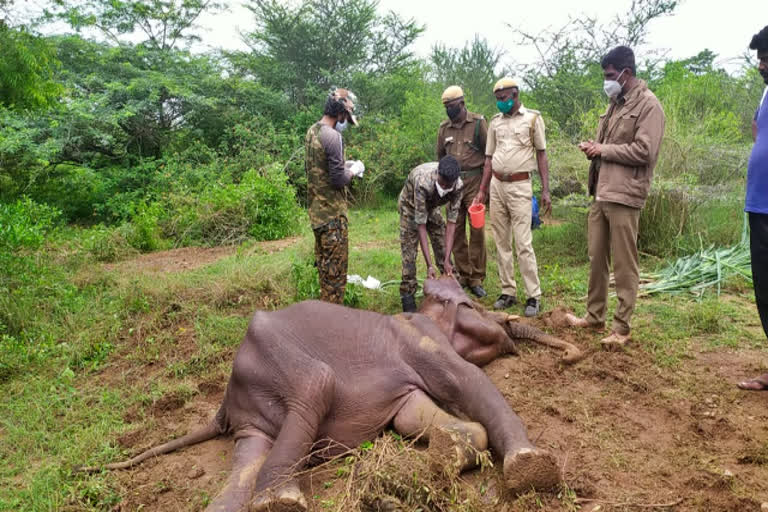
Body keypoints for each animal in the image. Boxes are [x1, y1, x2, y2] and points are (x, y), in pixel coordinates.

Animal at [90, 278, 572, 512]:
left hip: (253, 416)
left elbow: (412, 416)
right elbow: (466, 378)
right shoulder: (420, 337)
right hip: (282, 362)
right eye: (475, 308)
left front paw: (445, 454)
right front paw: (532, 468)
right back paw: (280, 503)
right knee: (314, 385)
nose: (568, 353)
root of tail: (224, 402)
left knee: (247, 459)